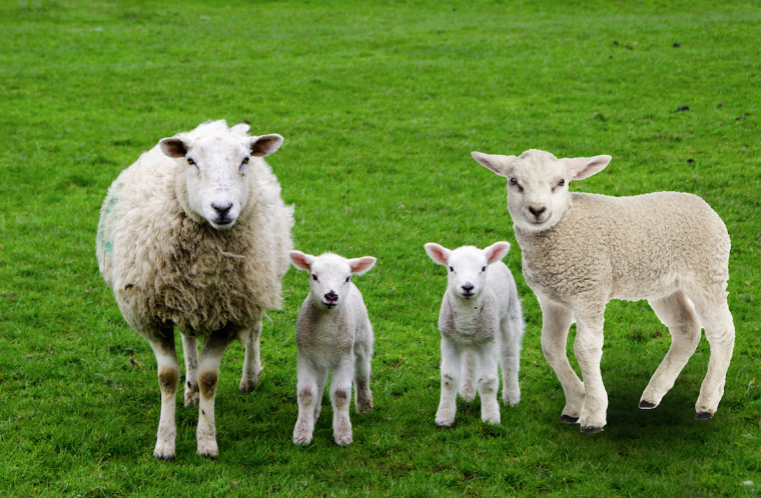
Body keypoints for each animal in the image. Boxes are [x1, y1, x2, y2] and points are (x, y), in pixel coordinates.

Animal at [94, 120, 294, 460]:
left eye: (245, 160)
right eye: (191, 161)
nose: (222, 208)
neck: (206, 267)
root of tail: (216, 124)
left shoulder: (230, 316)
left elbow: (209, 377)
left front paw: (207, 442)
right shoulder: (153, 317)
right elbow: (167, 377)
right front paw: (164, 443)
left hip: (257, 286)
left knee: (254, 330)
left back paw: (249, 377)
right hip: (184, 300)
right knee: (188, 338)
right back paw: (190, 392)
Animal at [288, 251, 378, 446]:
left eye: (347, 278)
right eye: (314, 276)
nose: (331, 296)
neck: (326, 333)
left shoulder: (345, 357)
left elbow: (341, 394)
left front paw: (343, 434)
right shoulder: (306, 356)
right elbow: (307, 393)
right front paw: (302, 433)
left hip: (362, 340)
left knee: (363, 372)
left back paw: (364, 404)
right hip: (320, 359)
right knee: (321, 382)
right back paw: (315, 413)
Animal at [422, 242, 524, 428]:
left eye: (483, 268)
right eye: (451, 268)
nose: (468, 287)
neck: (466, 318)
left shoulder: (489, 341)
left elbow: (488, 381)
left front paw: (491, 418)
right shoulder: (449, 340)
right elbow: (449, 379)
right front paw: (444, 417)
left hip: (510, 315)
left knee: (510, 355)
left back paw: (511, 396)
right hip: (472, 339)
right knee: (470, 358)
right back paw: (467, 391)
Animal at [472, 147, 732, 432]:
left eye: (561, 182)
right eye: (513, 181)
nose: (537, 210)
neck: (564, 225)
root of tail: (702, 203)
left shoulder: (589, 290)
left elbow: (585, 349)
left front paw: (593, 414)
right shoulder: (552, 298)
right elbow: (550, 347)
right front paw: (574, 404)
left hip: (707, 271)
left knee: (722, 332)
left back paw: (707, 403)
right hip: (663, 284)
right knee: (687, 328)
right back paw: (652, 395)